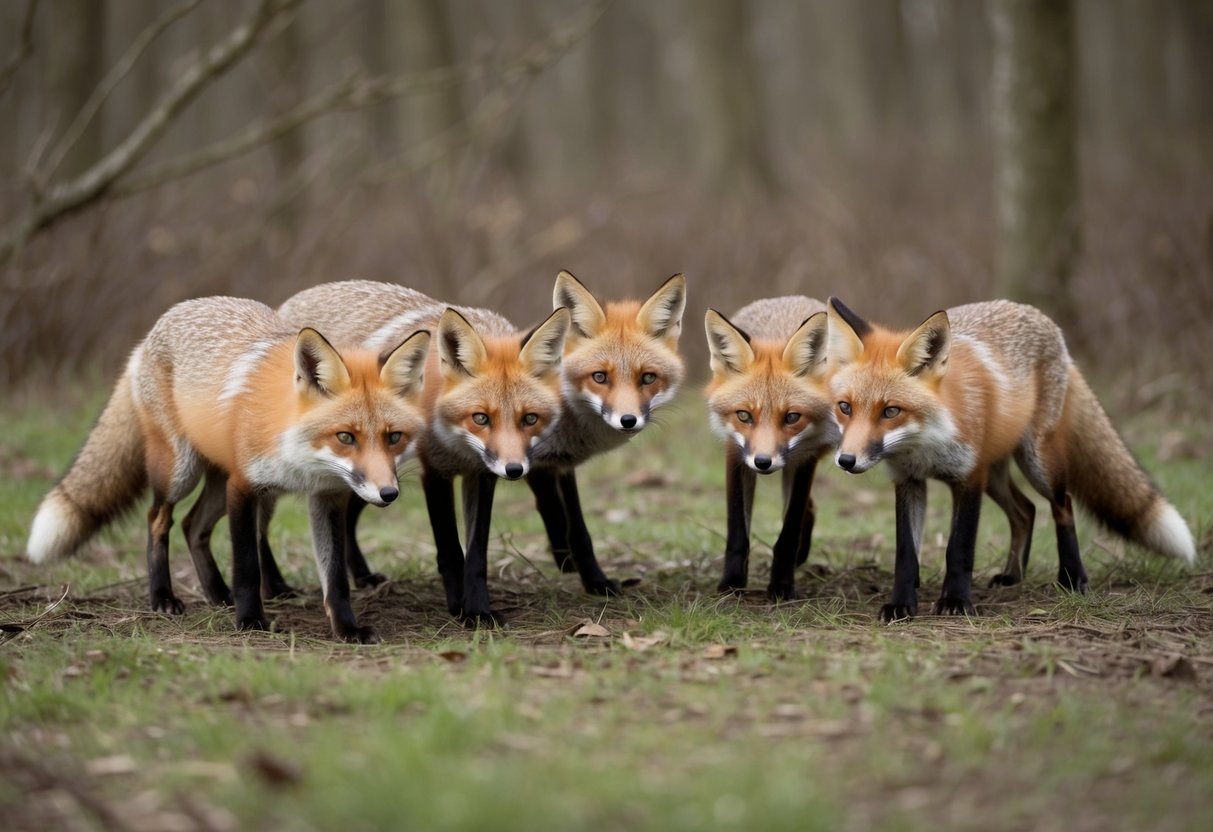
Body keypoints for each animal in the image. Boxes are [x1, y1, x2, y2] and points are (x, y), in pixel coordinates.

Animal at [25, 297, 430, 642]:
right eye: (345, 436)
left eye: (394, 437)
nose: (388, 494)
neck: (300, 455)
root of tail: (165, 319)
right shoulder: (244, 486)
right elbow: (247, 565)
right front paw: (250, 621)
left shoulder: (326, 497)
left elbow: (335, 578)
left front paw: (347, 629)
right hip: (182, 471)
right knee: (159, 518)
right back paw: (163, 597)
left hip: (227, 486)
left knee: (193, 526)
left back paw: (218, 593)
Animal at [704, 297, 837, 600]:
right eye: (744, 416)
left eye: (791, 417)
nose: (763, 462)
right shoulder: (736, 452)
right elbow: (737, 530)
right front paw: (731, 583)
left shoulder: (806, 456)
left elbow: (789, 529)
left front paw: (782, 585)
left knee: (808, 508)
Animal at [825, 297, 1197, 621]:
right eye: (845, 407)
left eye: (890, 411)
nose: (846, 460)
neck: (924, 445)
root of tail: (1043, 318)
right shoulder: (909, 480)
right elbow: (906, 553)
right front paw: (901, 604)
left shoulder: (969, 478)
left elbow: (959, 548)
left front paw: (956, 601)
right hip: (997, 474)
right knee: (1026, 511)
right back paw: (1012, 576)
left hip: (1037, 463)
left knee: (1063, 505)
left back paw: (1072, 578)